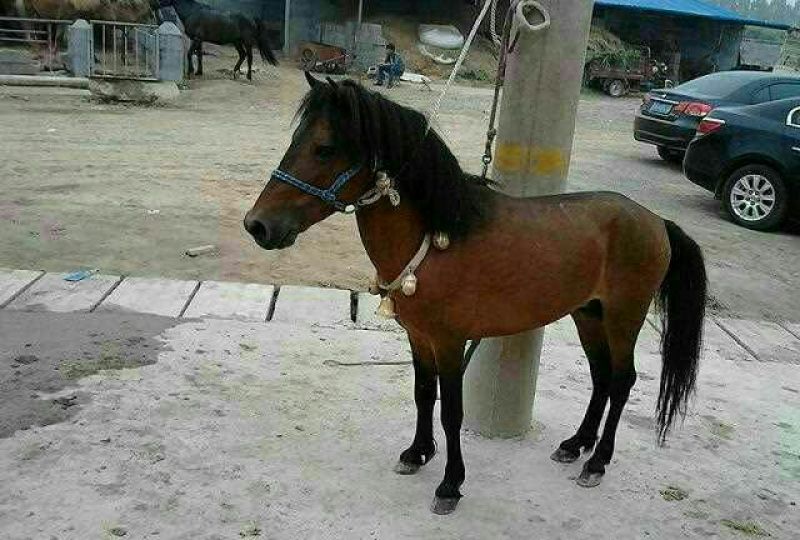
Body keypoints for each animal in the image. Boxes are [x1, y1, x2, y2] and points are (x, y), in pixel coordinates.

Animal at [244, 73, 707, 515]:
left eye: (324, 148)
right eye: (295, 141)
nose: (257, 225)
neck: (435, 238)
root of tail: (655, 221)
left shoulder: (451, 342)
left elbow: (452, 411)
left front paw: (450, 484)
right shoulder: (418, 337)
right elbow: (423, 395)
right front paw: (417, 453)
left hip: (624, 315)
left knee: (623, 380)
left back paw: (597, 462)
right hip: (588, 314)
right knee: (602, 377)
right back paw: (576, 445)